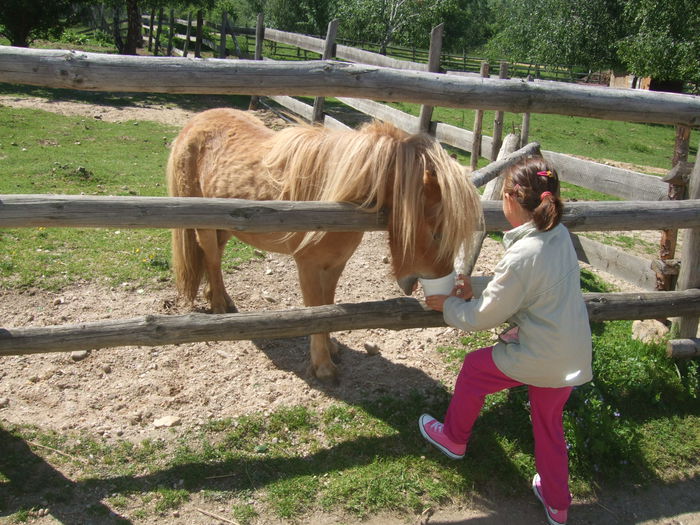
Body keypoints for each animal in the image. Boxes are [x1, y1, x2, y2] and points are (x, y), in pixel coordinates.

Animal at [167, 108, 484, 382]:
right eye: (437, 232)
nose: (440, 283)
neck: (335, 201)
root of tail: (194, 123)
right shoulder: (307, 266)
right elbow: (315, 311)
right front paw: (322, 367)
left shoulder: (335, 265)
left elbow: (328, 308)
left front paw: (331, 348)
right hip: (205, 225)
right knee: (211, 257)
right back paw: (219, 304)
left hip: (225, 224)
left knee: (215, 258)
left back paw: (217, 297)